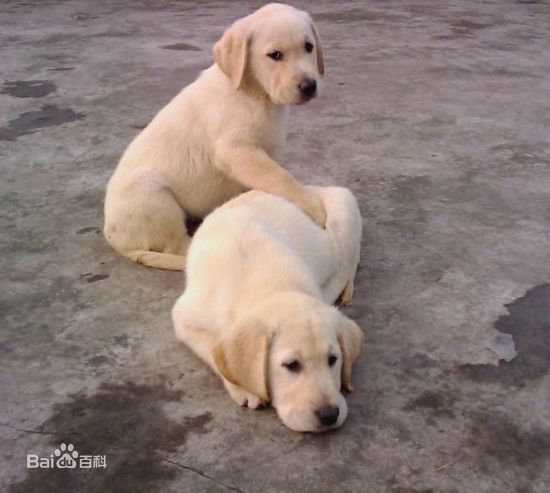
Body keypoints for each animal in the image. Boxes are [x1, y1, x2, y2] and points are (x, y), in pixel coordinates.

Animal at [104, 2, 328, 270]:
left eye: (309, 47)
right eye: (275, 55)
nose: (309, 86)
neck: (253, 92)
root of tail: (111, 234)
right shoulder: (236, 151)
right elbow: (280, 176)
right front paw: (312, 206)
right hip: (150, 193)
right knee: (177, 245)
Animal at [171, 186, 362, 432]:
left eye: (333, 359)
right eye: (291, 365)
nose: (329, 415)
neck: (271, 287)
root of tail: (312, 188)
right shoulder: (183, 318)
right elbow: (211, 347)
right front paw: (245, 389)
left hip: (343, 209)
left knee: (347, 262)